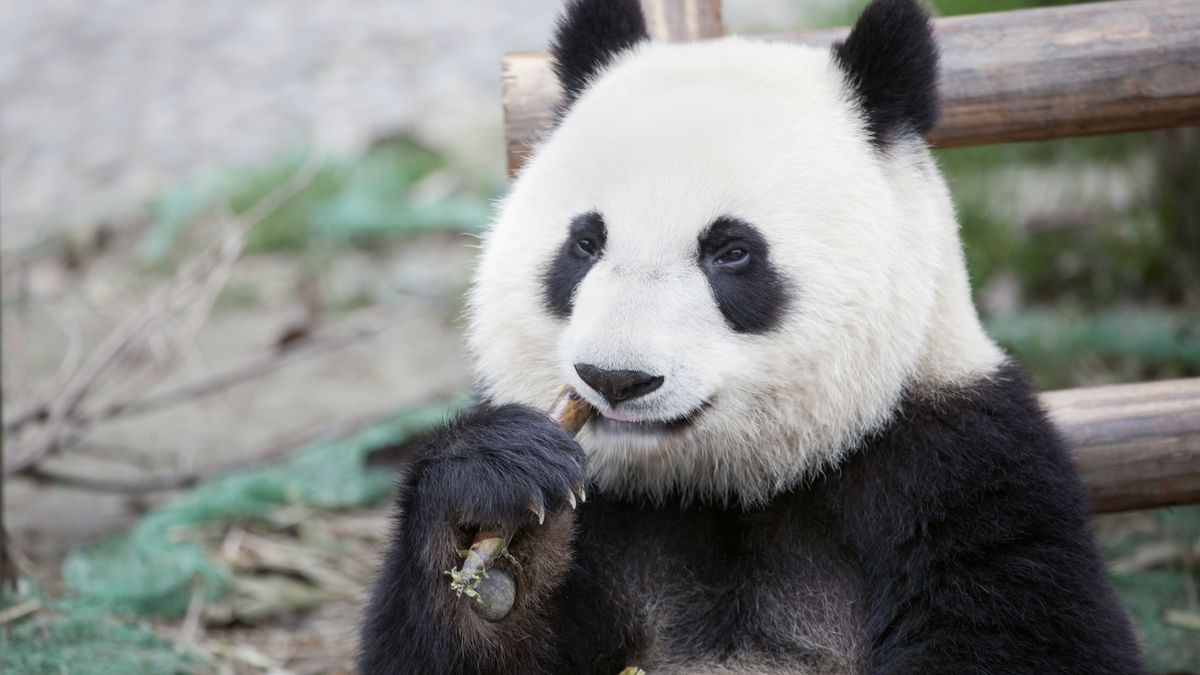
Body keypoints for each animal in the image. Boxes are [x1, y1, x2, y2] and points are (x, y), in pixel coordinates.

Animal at [359, 0, 1145, 672]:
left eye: (732, 252)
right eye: (584, 243)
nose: (616, 379)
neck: (720, 486)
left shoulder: (958, 474)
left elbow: (1019, 633)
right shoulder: (614, 522)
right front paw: (492, 512)